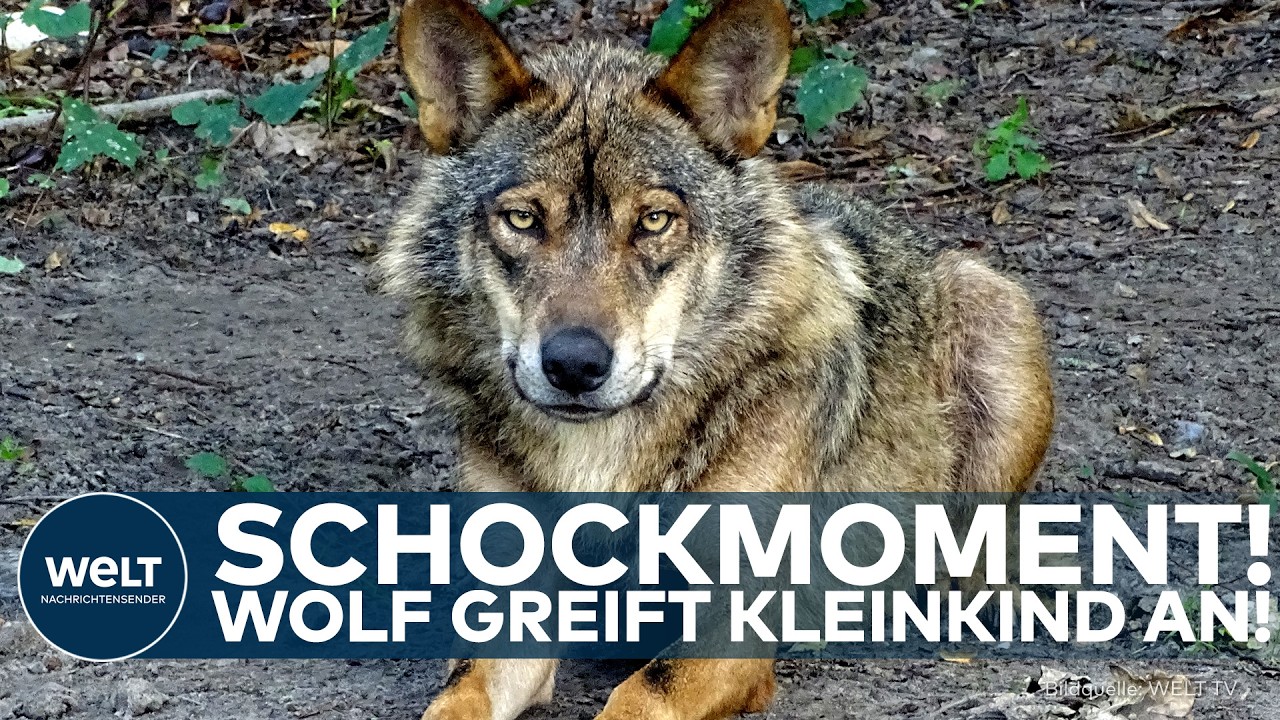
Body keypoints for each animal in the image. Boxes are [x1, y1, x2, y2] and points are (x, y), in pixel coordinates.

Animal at [377, 0, 1054, 717]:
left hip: (1000, 322)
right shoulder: (511, 622)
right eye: (524, 219)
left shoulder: (732, 624)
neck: (603, 463)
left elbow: (638, 697)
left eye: (653, 221)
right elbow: (458, 697)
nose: (575, 364)